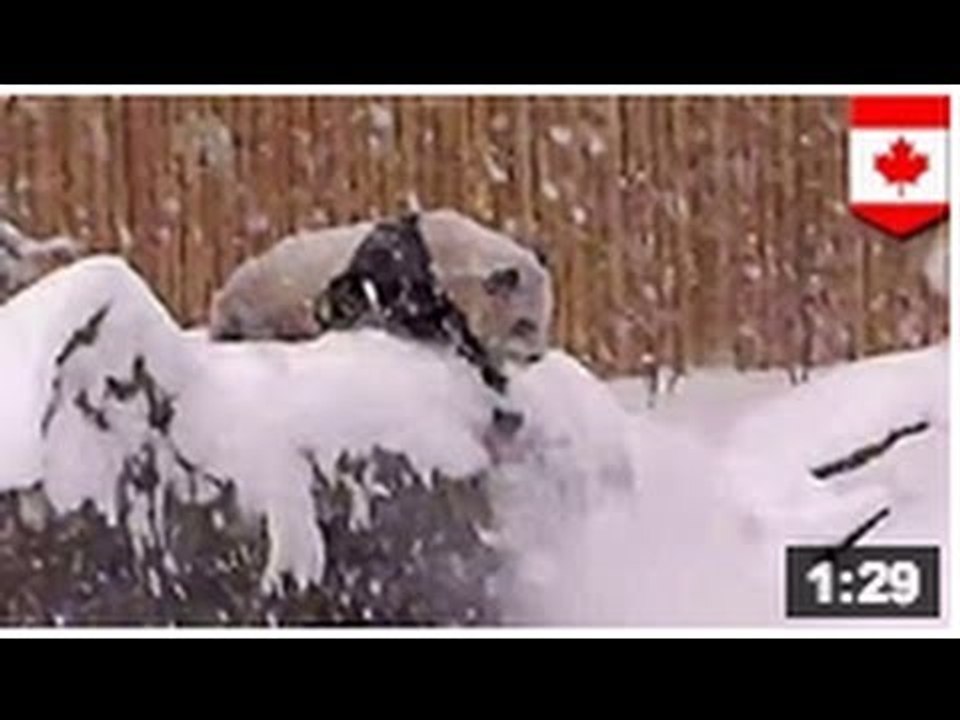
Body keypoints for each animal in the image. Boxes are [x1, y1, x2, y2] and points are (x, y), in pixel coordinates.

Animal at [208, 209, 554, 371]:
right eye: (524, 324)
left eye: (544, 323)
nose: (535, 357)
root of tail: (224, 297)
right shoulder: (397, 269)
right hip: (263, 307)